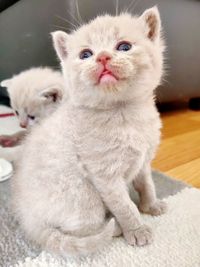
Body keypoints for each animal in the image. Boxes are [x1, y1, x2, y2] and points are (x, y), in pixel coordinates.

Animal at [12, 6, 166, 258]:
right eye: (85, 54)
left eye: (124, 47)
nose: (102, 56)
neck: (124, 114)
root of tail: (28, 217)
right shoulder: (105, 176)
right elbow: (124, 206)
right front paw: (136, 229)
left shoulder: (143, 161)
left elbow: (147, 184)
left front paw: (151, 206)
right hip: (84, 197)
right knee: (79, 229)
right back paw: (113, 228)